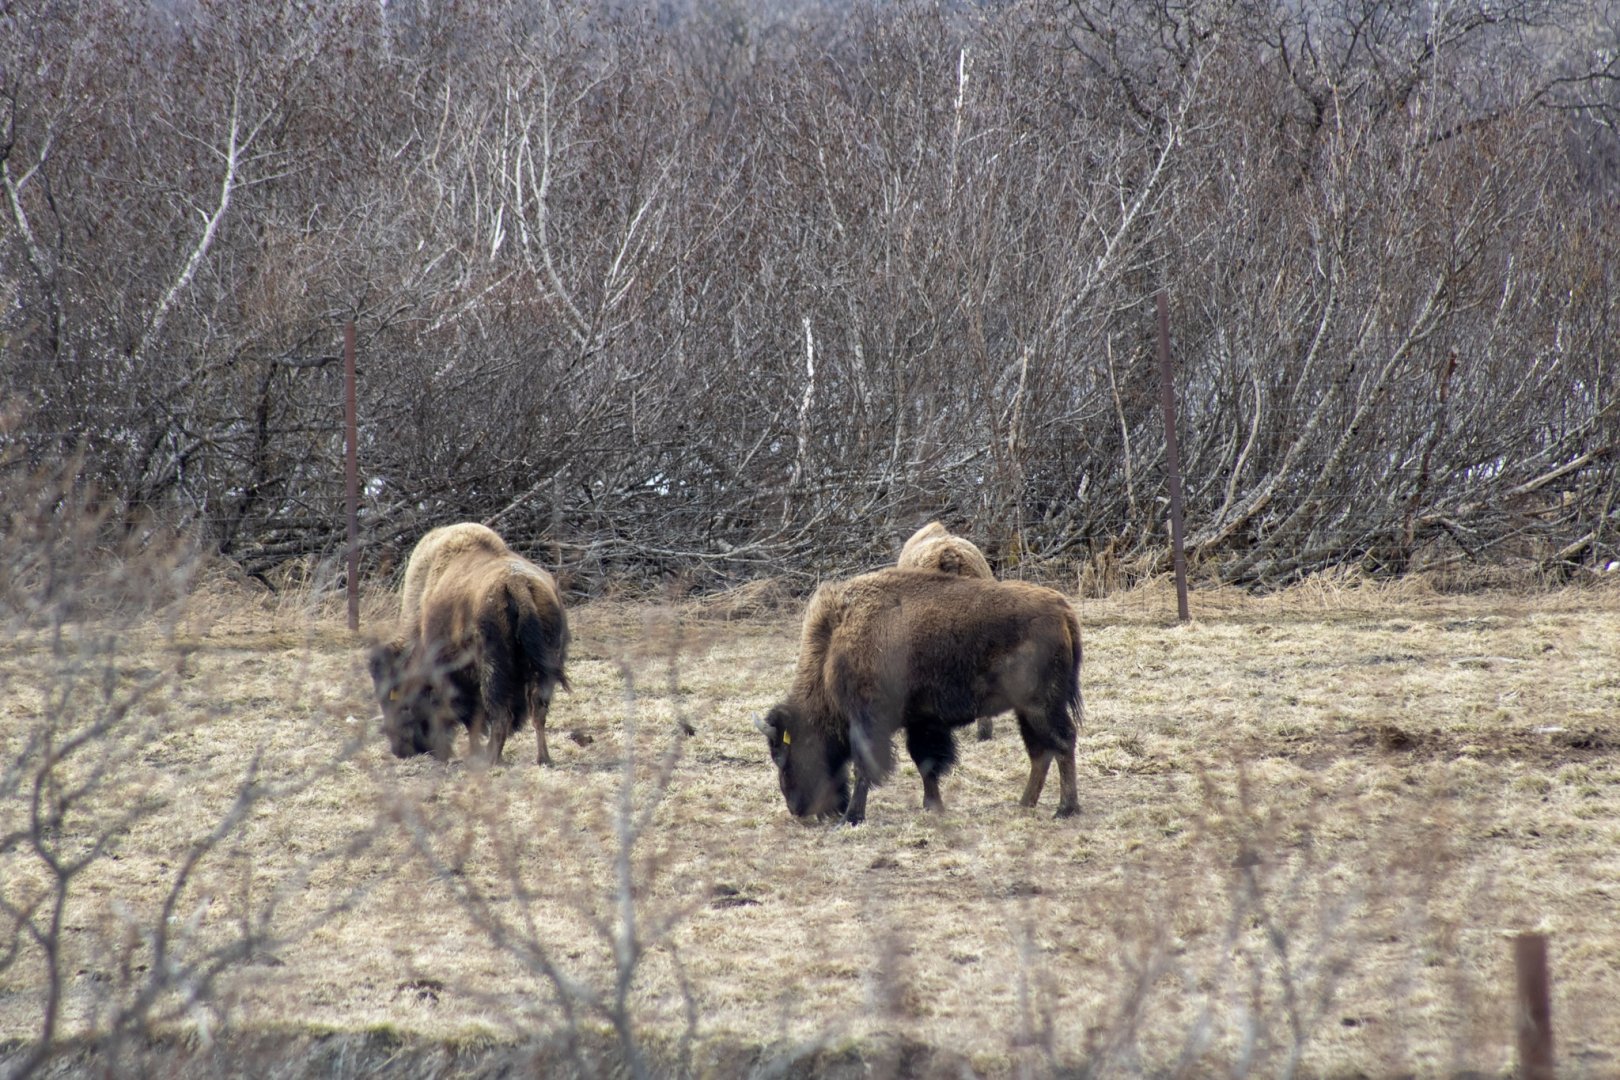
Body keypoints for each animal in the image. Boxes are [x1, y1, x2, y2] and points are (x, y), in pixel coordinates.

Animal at [370, 523, 569, 765]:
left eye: (401, 704)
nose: (401, 751)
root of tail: (517, 584)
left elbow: (470, 717)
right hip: (544, 667)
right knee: (537, 711)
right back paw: (542, 759)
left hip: (492, 669)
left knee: (500, 714)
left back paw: (490, 758)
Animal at [756, 568, 1082, 824]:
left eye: (783, 753)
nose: (796, 809)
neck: (835, 643)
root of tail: (1062, 609)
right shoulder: (922, 722)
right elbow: (925, 762)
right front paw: (932, 806)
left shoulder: (867, 724)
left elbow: (865, 768)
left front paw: (852, 817)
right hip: (1025, 710)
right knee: (1040, 752)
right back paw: (1025, 803)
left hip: (1041, 706)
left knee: (1063, 743)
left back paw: (1065, 809)